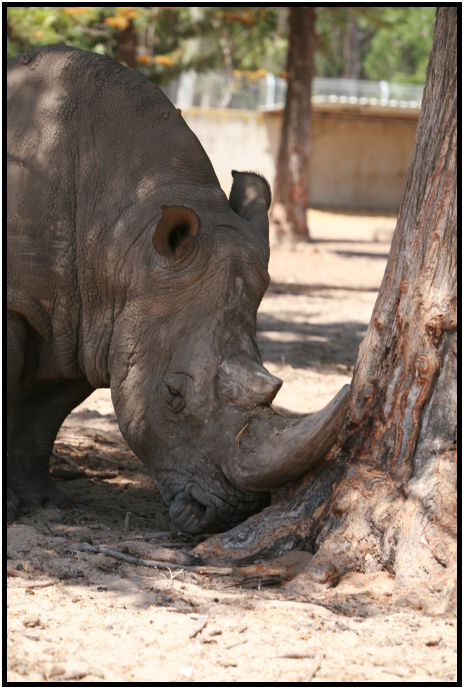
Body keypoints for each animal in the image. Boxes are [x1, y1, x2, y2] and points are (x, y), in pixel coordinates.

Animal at [7, 46, 349, 534]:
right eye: (174, 396)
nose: (227, 514)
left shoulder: (89, 322)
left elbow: (43, 414)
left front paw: (44, 501)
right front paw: (12, 508)